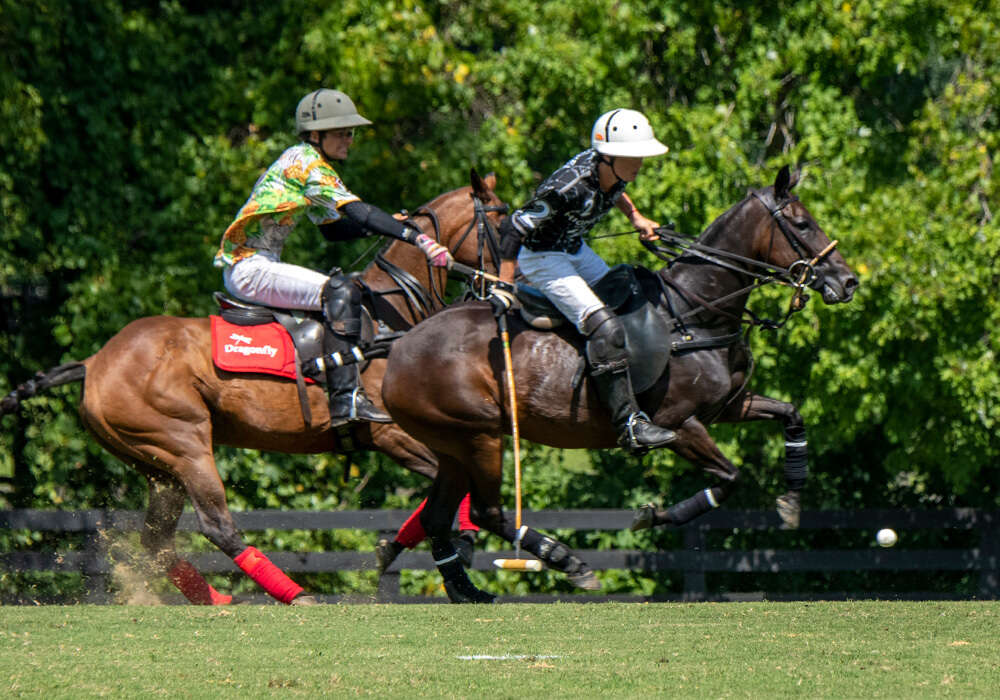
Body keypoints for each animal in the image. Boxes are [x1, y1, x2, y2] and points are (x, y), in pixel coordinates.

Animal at [1, 168, 508, 600]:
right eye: (505, 229)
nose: (506, 292)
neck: (391, 316)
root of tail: (94, 362)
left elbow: (442, 497)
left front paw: (441, 567)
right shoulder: (392, 434)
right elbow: (446, 495)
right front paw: (459, 556)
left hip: (157, 466)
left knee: (156, 541)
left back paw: (218, 600)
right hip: (183, 443)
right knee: (216, 525)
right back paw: (292, 596)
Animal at [380, 167, 860, 604]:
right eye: (802, 224)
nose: (849, 281)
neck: (695, 313)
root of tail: (398, 348)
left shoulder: (729, 406)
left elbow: (792, 416)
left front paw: (791, 501)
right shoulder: (679, 423)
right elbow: (728, 476)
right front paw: (652, 517)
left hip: (451, 444)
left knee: (439, 514)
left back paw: (465, 588)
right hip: (479, 434)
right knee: (486, 509)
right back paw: (565, 560)